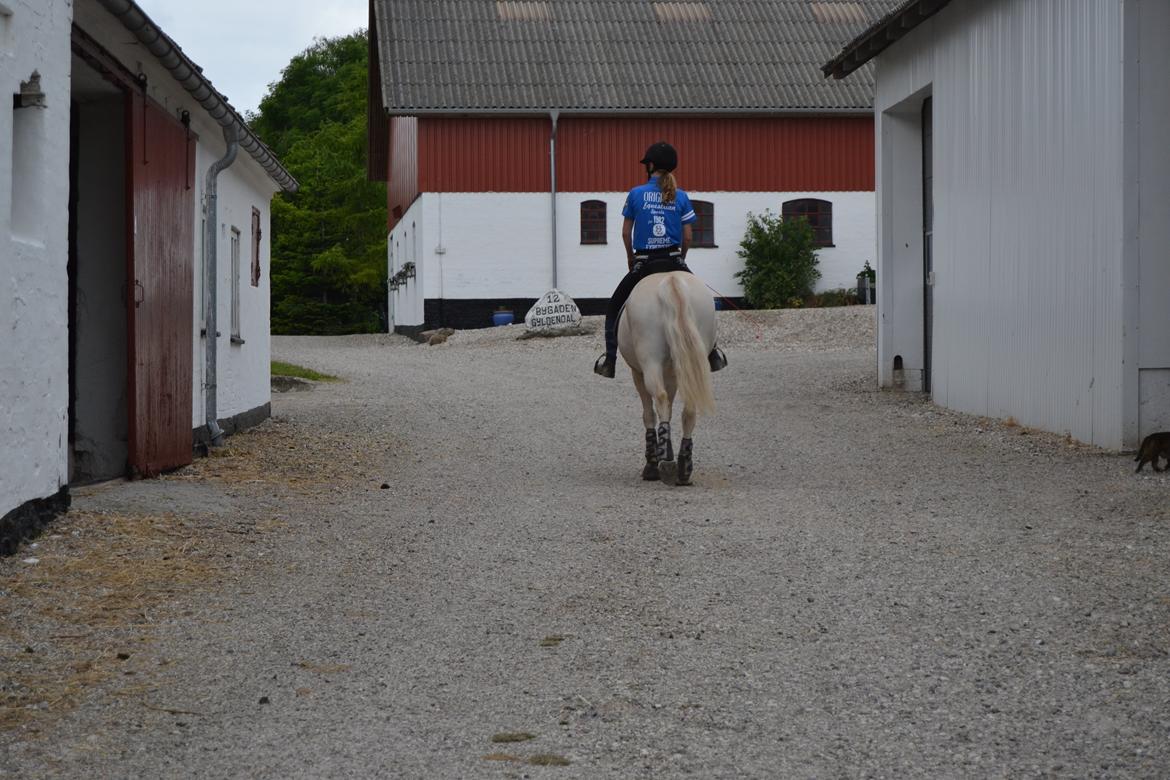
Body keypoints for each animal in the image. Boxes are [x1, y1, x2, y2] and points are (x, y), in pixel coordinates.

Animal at [617, 271, 716, 484]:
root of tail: (670, 280)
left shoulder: (637, 373)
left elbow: (649, 413)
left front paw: (653, 462)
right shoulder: (673, 374)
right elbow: (670, 410)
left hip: (650, 362)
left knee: (660, 399)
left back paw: (661, 462)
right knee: (688, 409)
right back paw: (684, 467)